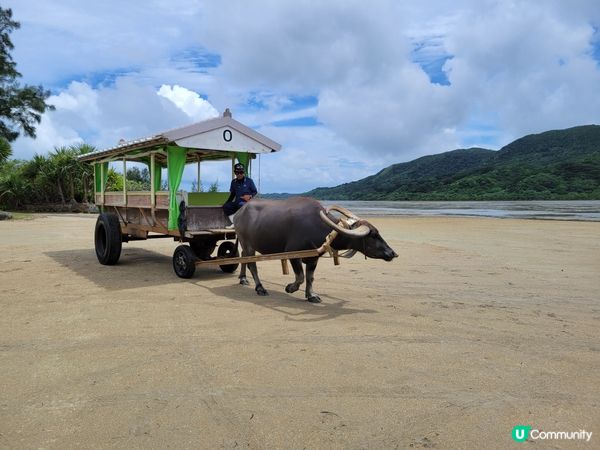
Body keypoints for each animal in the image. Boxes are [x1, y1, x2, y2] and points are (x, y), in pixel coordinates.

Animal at [234, 197, 398, 302]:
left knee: (242, 257)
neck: (322, 228)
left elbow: (310, 277)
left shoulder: (314, 257)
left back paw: (243, 279)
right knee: (252, 264)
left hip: (247, 245)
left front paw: (311, 295)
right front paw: (290, 288)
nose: (392, 253)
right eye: (373, 236)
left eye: (378, 233)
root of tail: (239, 212)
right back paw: (260, 288)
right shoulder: (293, 254)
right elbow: (300, 277)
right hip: (247, 243)